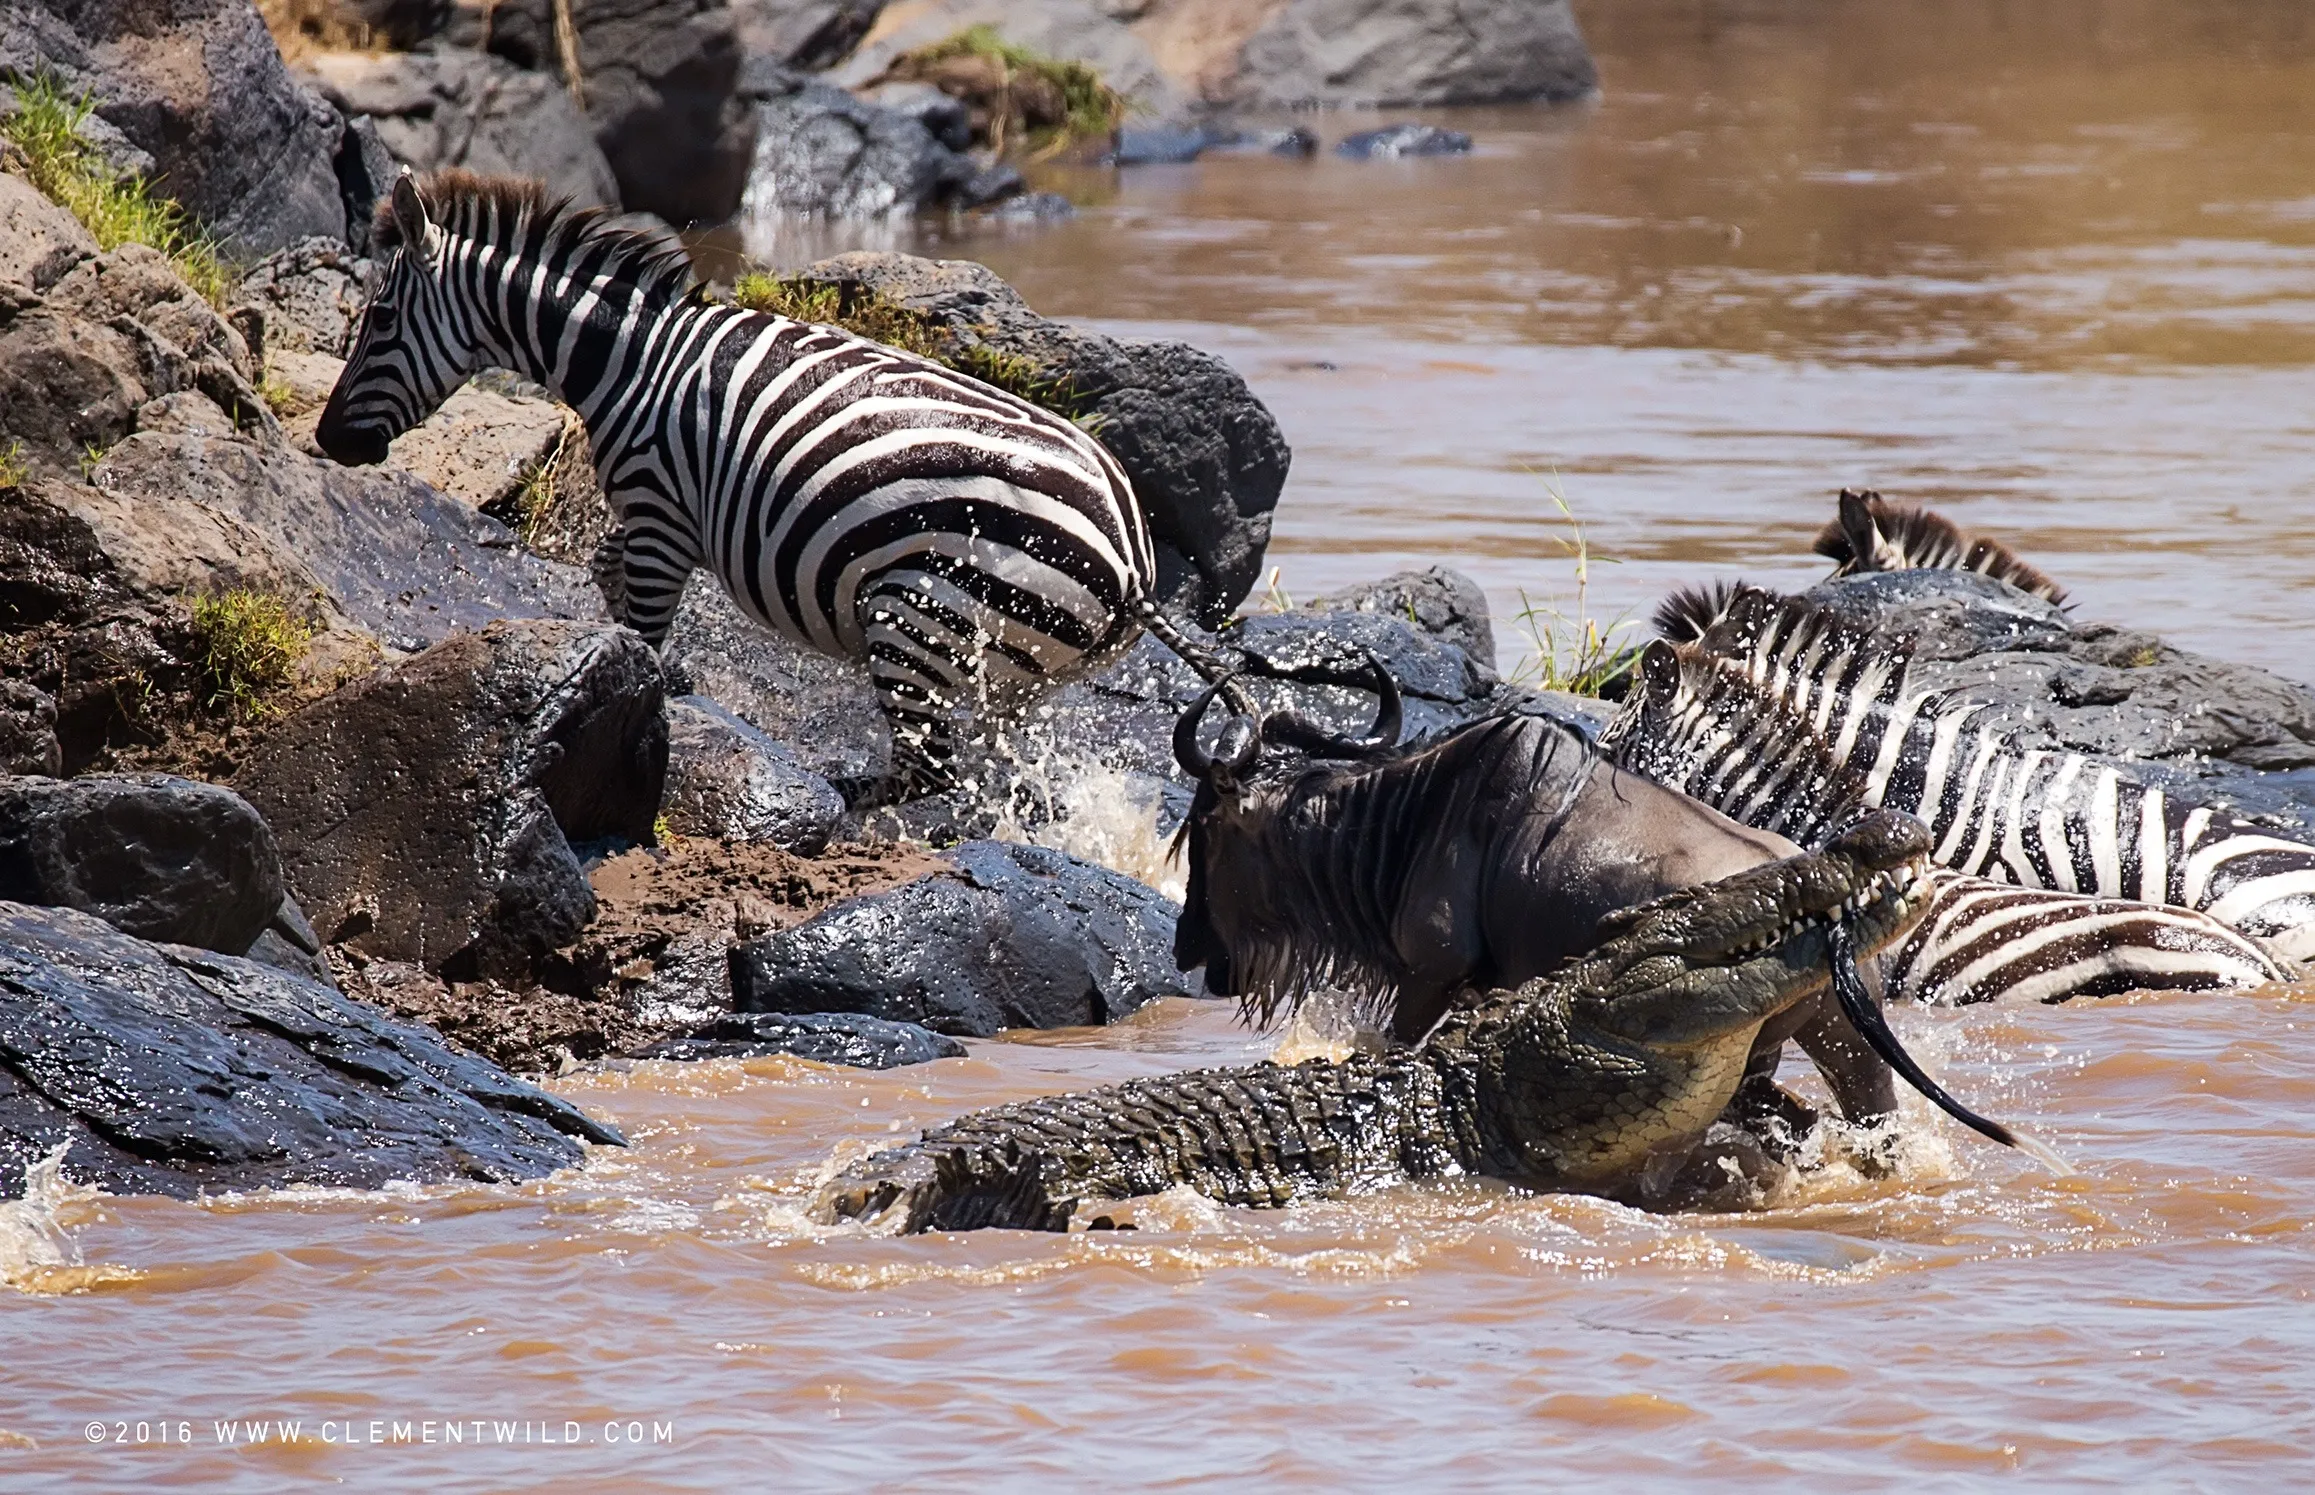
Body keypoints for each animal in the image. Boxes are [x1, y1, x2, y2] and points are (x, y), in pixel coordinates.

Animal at [317, 170, 1240, 809]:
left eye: (379, 320)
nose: (327, 441)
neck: (629, 360)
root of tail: (1130, 556)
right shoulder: (653, 522)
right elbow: (606, 573)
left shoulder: (661, 515)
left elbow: (640, 625)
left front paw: (635, 705)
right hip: (1013, 674)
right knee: (989, 776)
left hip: (919, 618)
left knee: (928, 775)